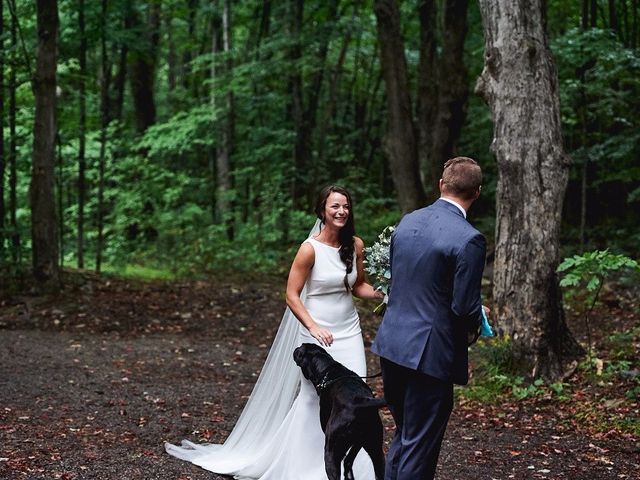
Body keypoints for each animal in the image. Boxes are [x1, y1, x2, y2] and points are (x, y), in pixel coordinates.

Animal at [294, 344, 384, 478]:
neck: (328, 370)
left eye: (301, 348)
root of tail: (358, 402)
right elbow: (348, 462)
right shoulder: (358, 442)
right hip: (376, 450)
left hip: (331, 452)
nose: (296, 348)